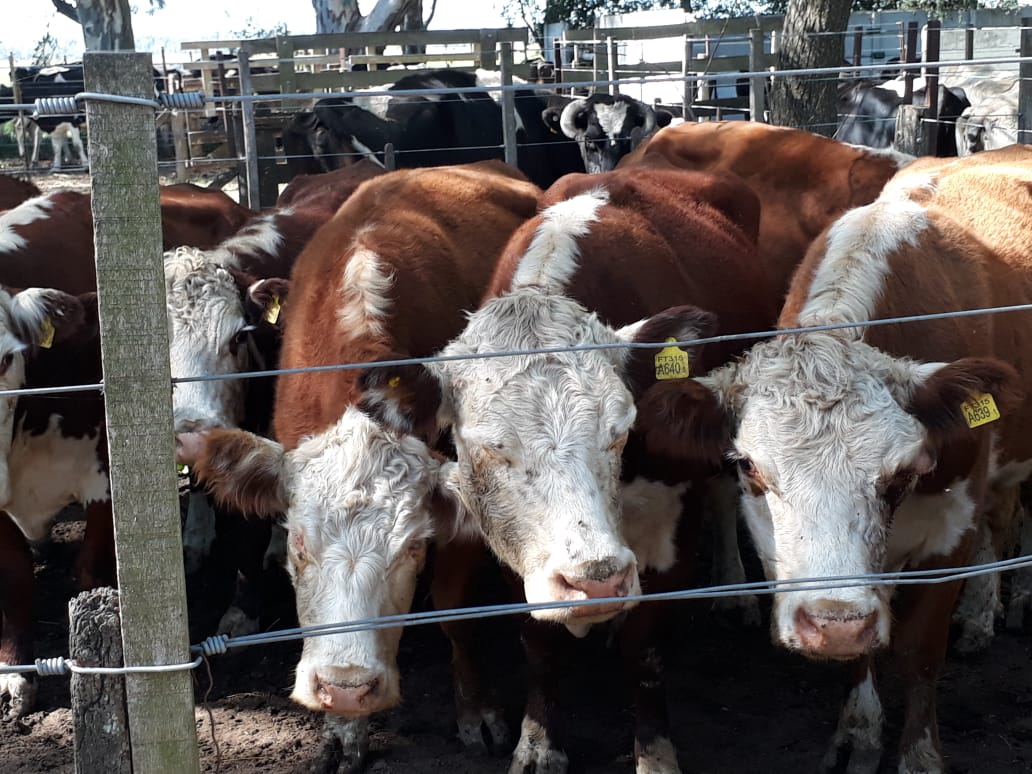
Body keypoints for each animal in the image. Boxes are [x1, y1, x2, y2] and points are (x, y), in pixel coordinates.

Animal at [175, 161, 541, 770]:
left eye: (413, 549)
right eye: (298, 545)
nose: (345, 687)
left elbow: (453, 610)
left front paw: (477, 713)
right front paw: (344, 733)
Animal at [351, 164, 778, 773]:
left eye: (620, 430)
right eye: (485, 448)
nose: (597, 579)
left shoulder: (672, 517)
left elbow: (645, 651)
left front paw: (655, 753)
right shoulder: (519, 545)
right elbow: (540, 641)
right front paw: (538, 742)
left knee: (723, 493)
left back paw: (734, 590)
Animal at [633, 145, 1032, 773]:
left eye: (902, 472)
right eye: (748, 467)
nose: (831, 624)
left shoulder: (951, 529)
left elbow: (920, 654)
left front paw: (919, 755)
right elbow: (861, 658)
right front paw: (858, 734)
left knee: (1006, 519)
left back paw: (992, 609)